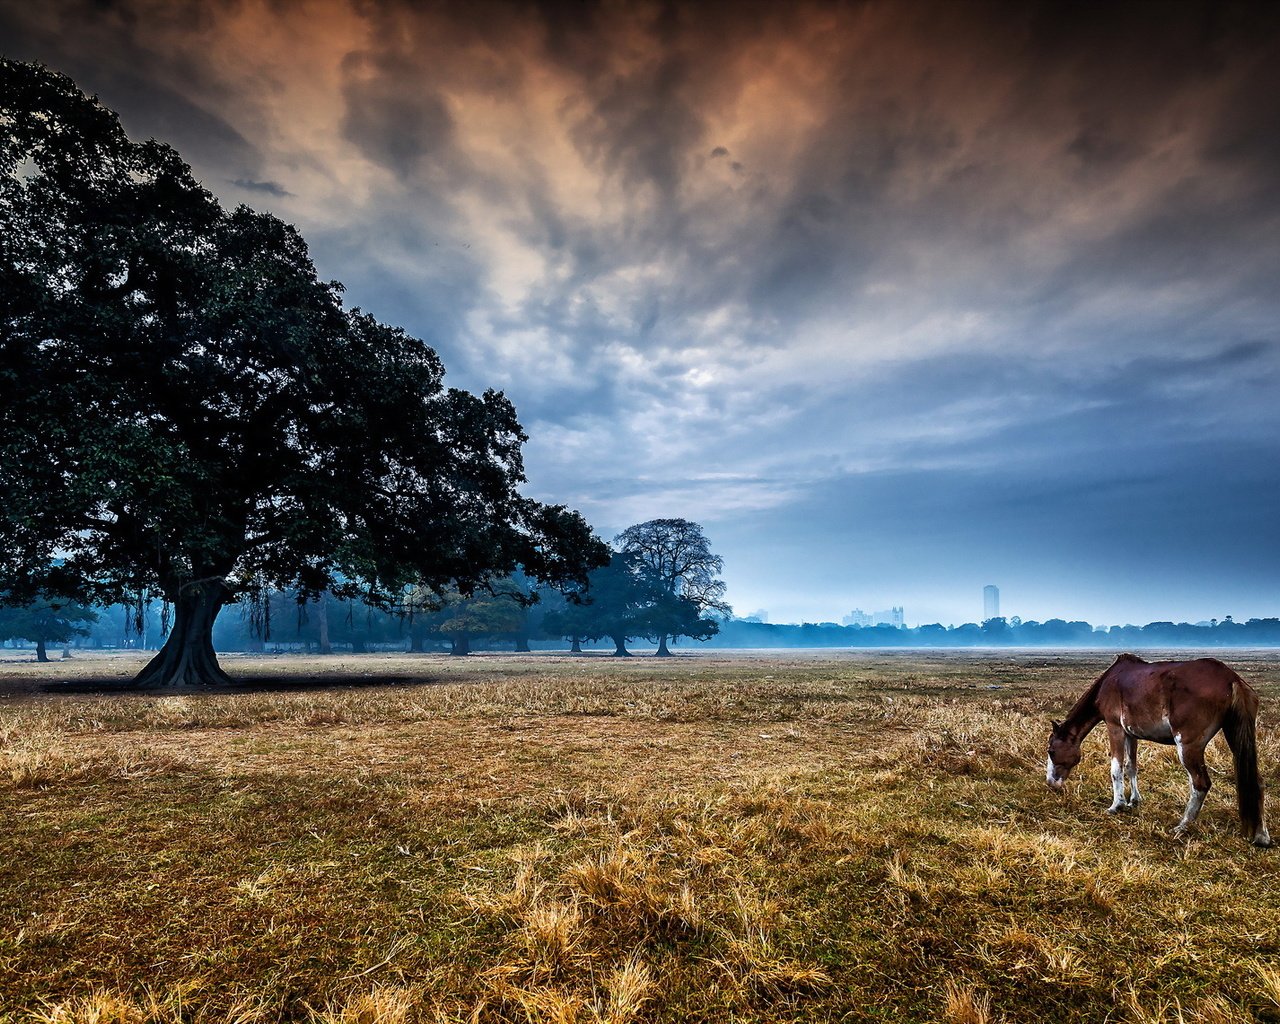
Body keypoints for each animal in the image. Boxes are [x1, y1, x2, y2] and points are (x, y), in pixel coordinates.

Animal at [1049, 655, 1269, 849]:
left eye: (1051, 751)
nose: (1051, 783)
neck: (1110, 681)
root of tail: (1232, 678)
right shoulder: (1131, 734)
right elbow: (1131, 767)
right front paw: (1133, 801)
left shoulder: (1115, 728)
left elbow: (1116, 769)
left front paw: (1116, 805)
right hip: (1235, 734)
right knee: (1256, 782)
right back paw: (1261, 836)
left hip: (1188, 747)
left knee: (1201, 784)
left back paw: (1182, 826)